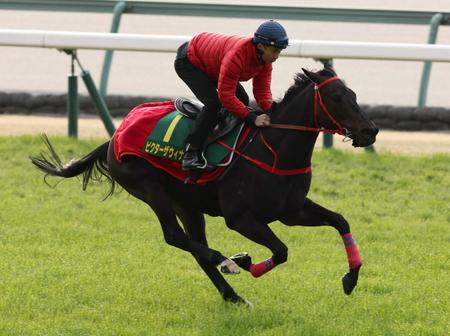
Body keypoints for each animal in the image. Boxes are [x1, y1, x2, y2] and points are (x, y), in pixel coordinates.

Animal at [29, 67, 378, 306]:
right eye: (336, 98)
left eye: (354, 95)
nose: (370, 131)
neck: (274, 149)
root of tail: (115, 135)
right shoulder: (241, 218)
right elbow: (281, 251)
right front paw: (245, 262)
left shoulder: (291, 211)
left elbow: (340, 221)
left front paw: (351, 277)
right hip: (150, 188)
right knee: (175, 236)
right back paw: (228, 262)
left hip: (187, 203)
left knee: (194, 246)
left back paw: (233, 294)